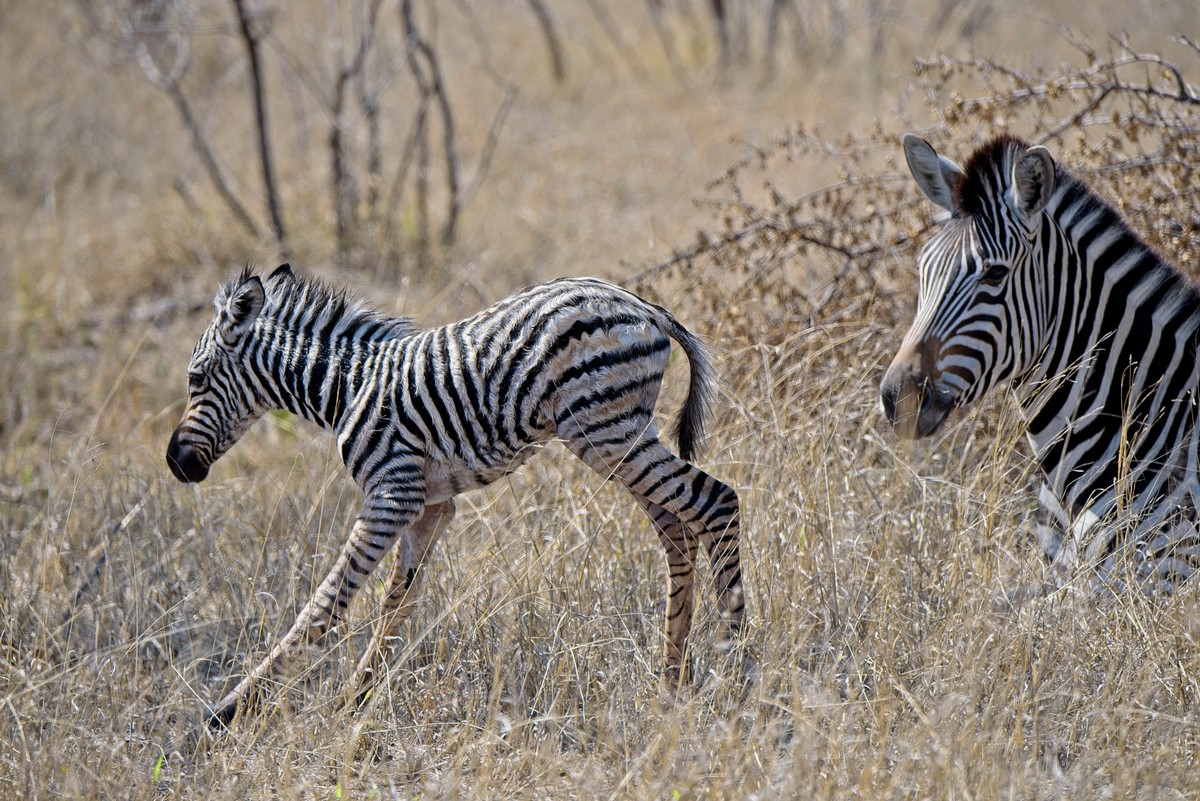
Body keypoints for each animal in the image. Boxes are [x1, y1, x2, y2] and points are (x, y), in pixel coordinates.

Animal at [165, 266, 744, 729]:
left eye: (195, 378)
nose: (176, 463)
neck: (347, 387)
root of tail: (643, 306)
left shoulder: (393, 492)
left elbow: (328, 603)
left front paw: (232, 711)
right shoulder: (430, 506)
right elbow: (396, 602)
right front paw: (356, 701)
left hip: (606, 432)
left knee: (715, 502)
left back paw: (736, 671)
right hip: (620, 437)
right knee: (677, 530)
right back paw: (671, 681)